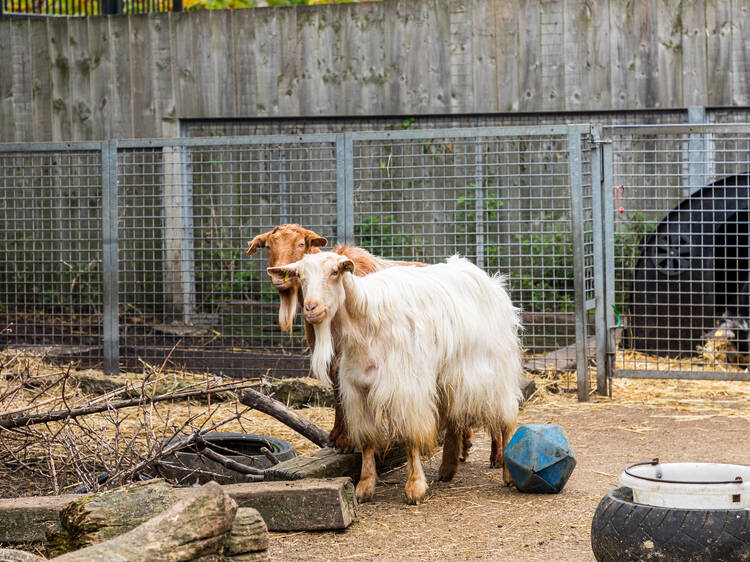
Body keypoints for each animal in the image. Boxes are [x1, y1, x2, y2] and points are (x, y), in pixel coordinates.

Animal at [268, 250, 524, 504]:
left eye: (334, 272)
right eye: (300, 276)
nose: (312, 308)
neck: (365, 324)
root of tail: (489, 279)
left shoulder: (405, 389)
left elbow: (410, 438)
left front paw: (415, 487)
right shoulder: (359, 389)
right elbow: (367, 441)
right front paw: (364, 487)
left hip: (491, 369)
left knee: (506, 416)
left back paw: (507, 473)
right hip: (448, 375)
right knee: (454, 416)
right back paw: (447, 469)